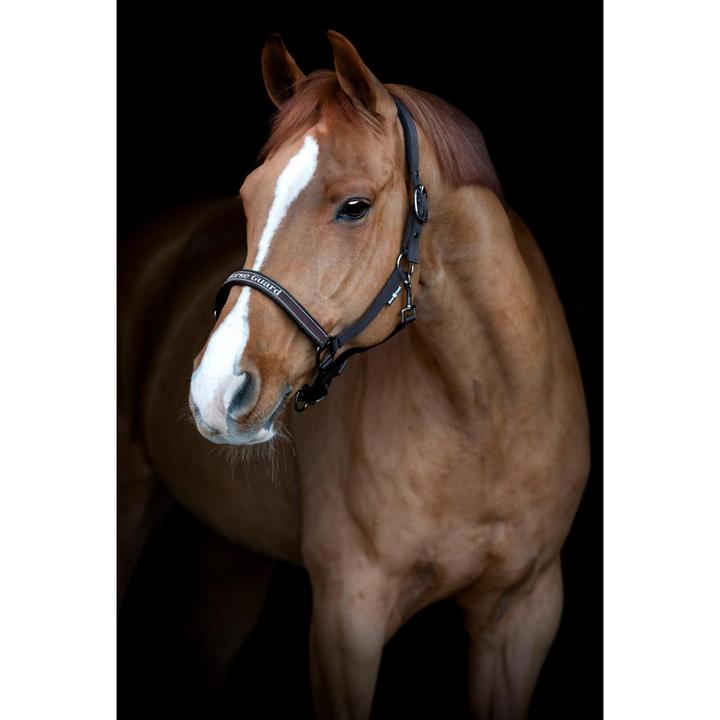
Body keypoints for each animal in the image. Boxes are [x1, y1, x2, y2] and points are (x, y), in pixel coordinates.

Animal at [118, 30, 590, 720]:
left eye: (355, 206)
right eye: (249, 198)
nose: (214, 391)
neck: (487, 417)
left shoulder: (523, 614)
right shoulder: (348, 620)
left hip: (234, 550)